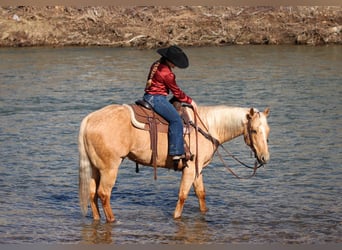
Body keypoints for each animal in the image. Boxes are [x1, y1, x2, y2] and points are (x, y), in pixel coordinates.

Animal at [78, 104, 270, 223]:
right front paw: (176, 217)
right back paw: (112, 219)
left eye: (267, 130)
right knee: (104, 194)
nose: (264, 158)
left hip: (95, 168)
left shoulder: (198, 170)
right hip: (110, 169)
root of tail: (90, 118)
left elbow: (201, 194)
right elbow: (183, 195)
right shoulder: (190, 169)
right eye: (254, 130)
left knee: (92, 193)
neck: (206, 127)